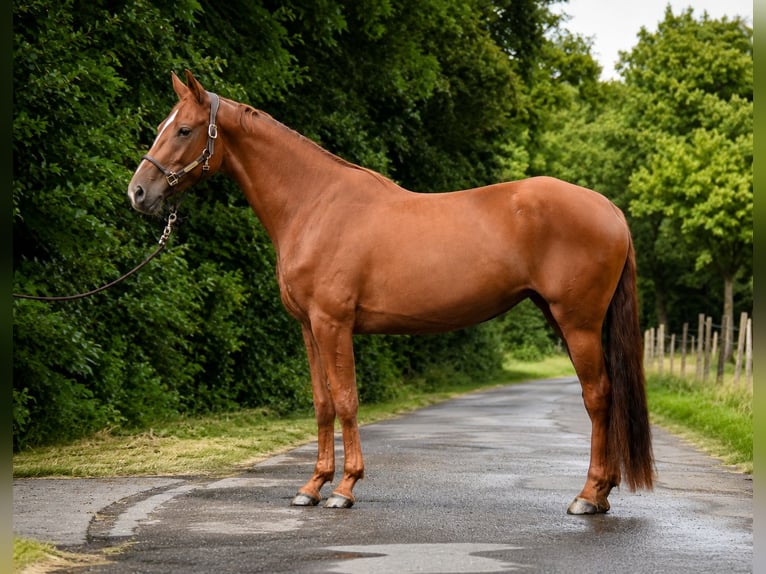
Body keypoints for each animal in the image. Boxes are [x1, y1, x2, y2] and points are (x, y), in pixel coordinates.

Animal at [128, 70, 654, 515]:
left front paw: (344, 488)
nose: (138, 192)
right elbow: (322, 402)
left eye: (185, 130)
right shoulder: (309, 328)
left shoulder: (333, 323)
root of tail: (609, 208)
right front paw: (311, 486)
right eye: (162, 125)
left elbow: (346, 399)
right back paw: (602, 492)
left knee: (598, 396)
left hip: (577, 322)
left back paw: (588, 496)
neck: (314, 203)